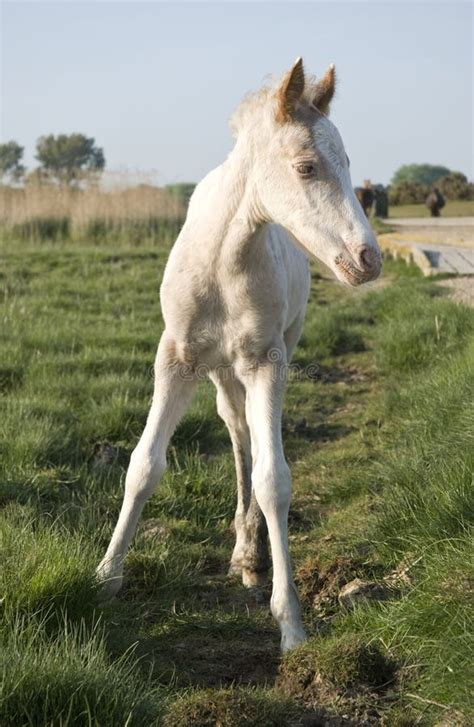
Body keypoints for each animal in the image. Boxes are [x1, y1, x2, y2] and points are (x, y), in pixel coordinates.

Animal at [98, 59, 384, 652]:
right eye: (306, 167)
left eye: (349, 165)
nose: (369, 259)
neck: (224, 262)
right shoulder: (175, 358)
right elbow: (143, 465)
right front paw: (105, 577)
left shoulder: (267, 361)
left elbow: (274, 480)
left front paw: (290, 621)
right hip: (219, 371)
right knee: (235, 429)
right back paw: (245, 549)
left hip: (270, 353)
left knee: (251, 436)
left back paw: (252, 555)